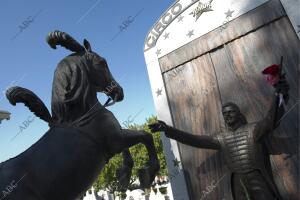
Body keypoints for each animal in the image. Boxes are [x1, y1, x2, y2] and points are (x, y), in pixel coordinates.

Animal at [0, 30, 161, 199]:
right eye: (102, 62)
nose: (119, 91)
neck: (79, 117)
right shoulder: (115, 140)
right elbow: (145, 136)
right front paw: (147, 173)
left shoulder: (116, 139)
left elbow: (132, 145)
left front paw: (123, 176)